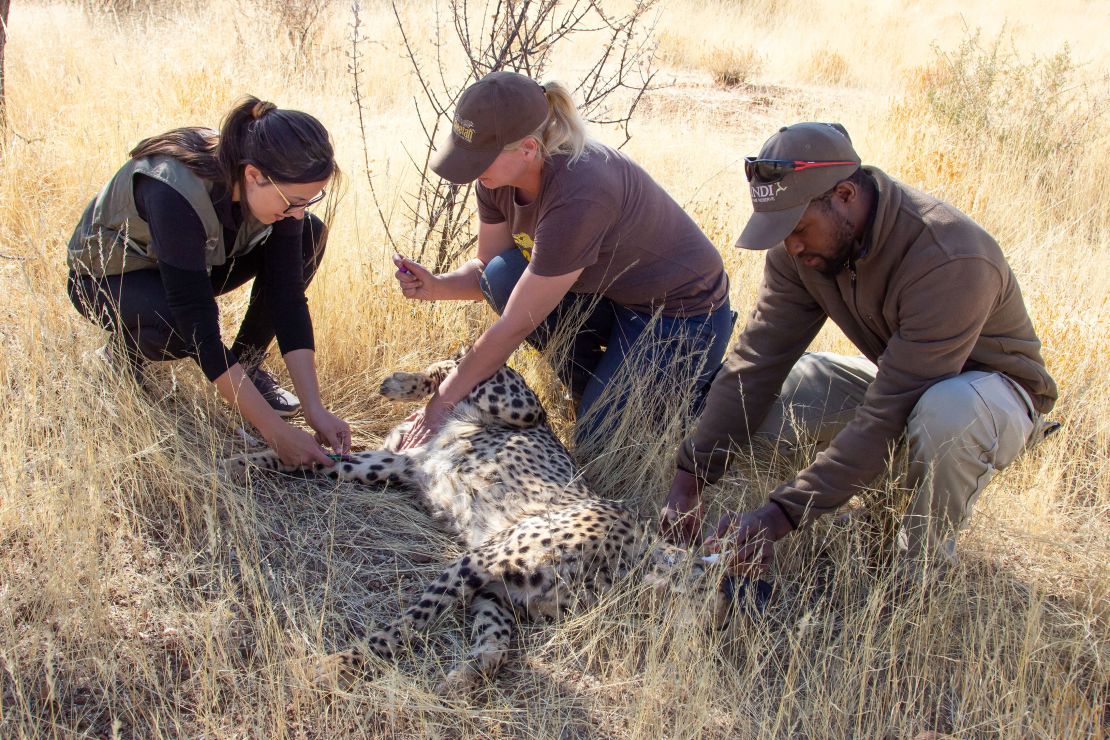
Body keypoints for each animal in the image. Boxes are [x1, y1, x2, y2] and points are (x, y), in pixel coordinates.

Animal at [220, 352, 732, 687]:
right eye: (719, 599)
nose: (714, 634)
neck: (632, 564)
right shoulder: (478, 560)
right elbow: (410, 622)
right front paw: (340, 664)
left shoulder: (496, 590)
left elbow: (498, 643)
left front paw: (472, 673)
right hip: (521, 405)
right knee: (461, 363)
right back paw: (402, 382)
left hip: (386, 466)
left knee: (320, 460)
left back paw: (246, 461)